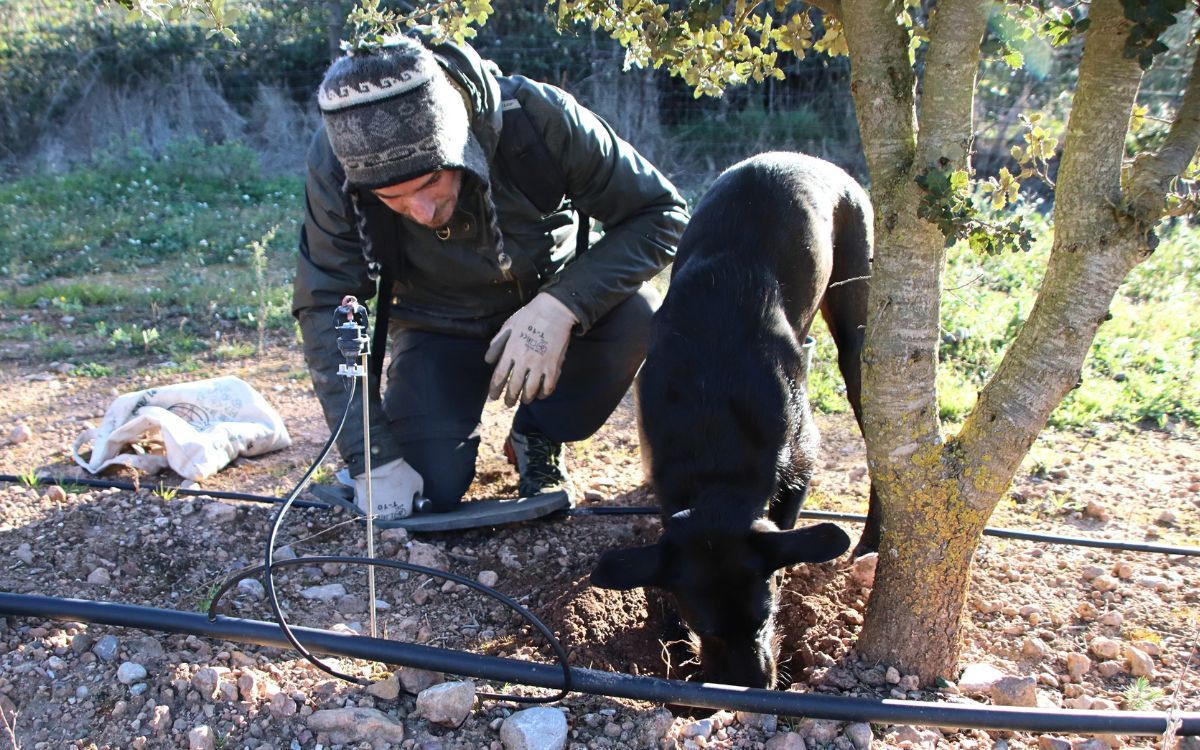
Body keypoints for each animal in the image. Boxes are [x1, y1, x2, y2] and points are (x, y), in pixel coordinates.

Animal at [588, 150, 873, 686]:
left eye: (765, 617)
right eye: (705, 627)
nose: (750, 688)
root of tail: (811, 159)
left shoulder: (802, 460)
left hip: (860, 321)